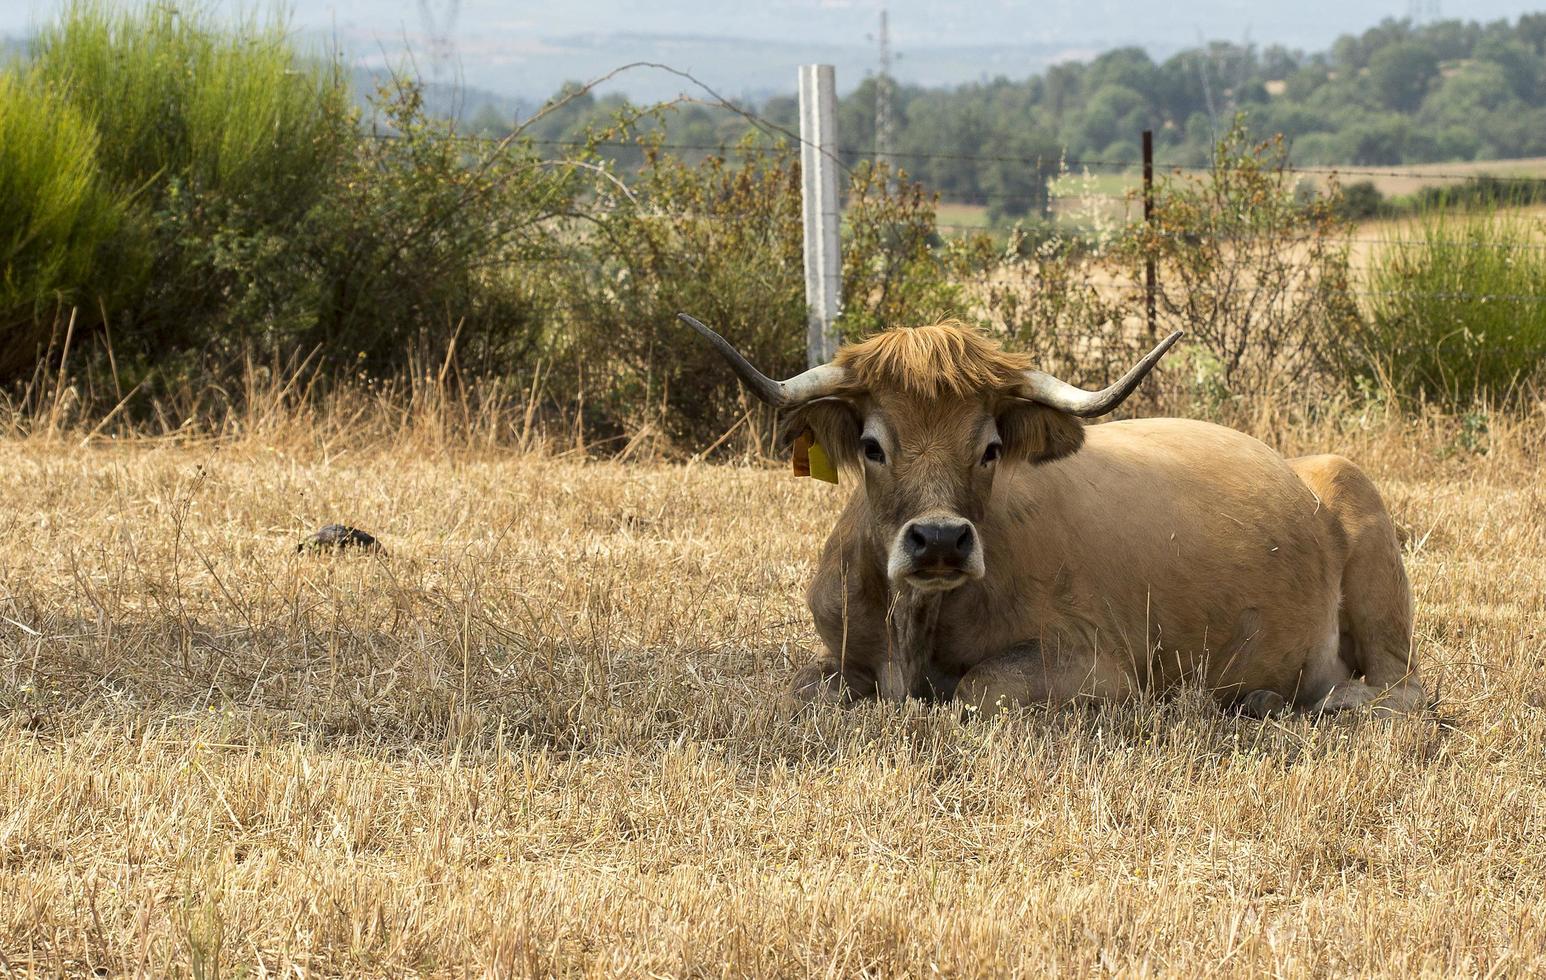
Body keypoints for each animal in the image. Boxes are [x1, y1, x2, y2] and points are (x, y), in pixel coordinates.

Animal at [677, 315, 1422, 717]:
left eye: (990, 448)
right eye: (872, 446)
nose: (940, 539)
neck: (913, 628)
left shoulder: (1096, 666)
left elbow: (980, 689)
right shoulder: (835, 654)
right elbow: (806, 690)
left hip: (1372, 572)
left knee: (1400, 691)